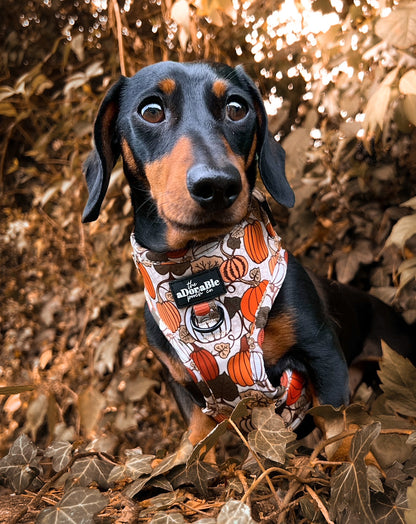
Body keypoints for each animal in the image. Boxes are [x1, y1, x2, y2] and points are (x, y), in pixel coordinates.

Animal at [82, 60, 416, 446]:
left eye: (237, 108)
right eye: (151, 111)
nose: (217, 185)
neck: (198, 270)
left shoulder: (324, 356)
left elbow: (338, 438)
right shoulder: (185, 391)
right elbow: (196, 442)